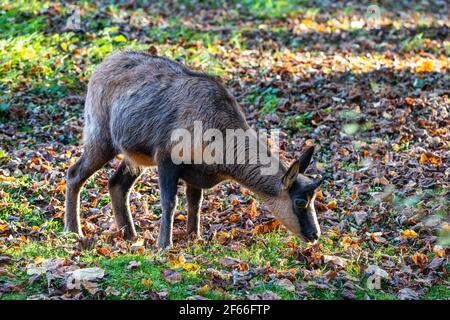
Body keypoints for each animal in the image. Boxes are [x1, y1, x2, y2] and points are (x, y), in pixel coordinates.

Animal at [65, 51, 326, 249]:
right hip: (101, 136)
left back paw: (129, 234)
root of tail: (99, 68)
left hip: (135, 157)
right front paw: (164, 244)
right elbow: (169, 202)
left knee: (117, 183)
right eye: (300, 202)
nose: (315, 235)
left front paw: (194, 237)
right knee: (74, 173)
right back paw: (73, 231)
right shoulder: (166, 157)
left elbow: (195, 203)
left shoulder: (196, 171)